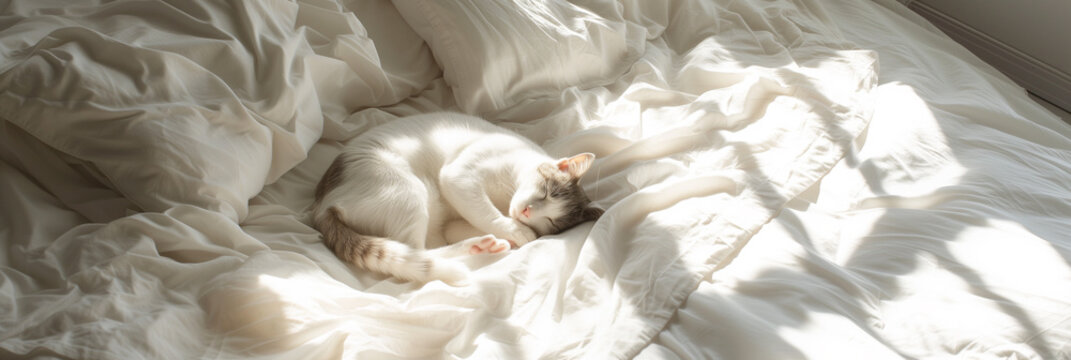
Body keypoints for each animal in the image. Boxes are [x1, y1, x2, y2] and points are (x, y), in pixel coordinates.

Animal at [312, 110, 608, 285]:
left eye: (552, 222)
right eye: (547, 192)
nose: (526, 213)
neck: (504, 197)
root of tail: (323, 205)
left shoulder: (457, 219)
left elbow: (469, 222)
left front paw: (511, 232)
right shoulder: (460, 177)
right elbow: (489, 213)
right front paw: (517, 231)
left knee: (425, 249)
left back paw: (480, 246)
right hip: (406, 190)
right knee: (416, 250)